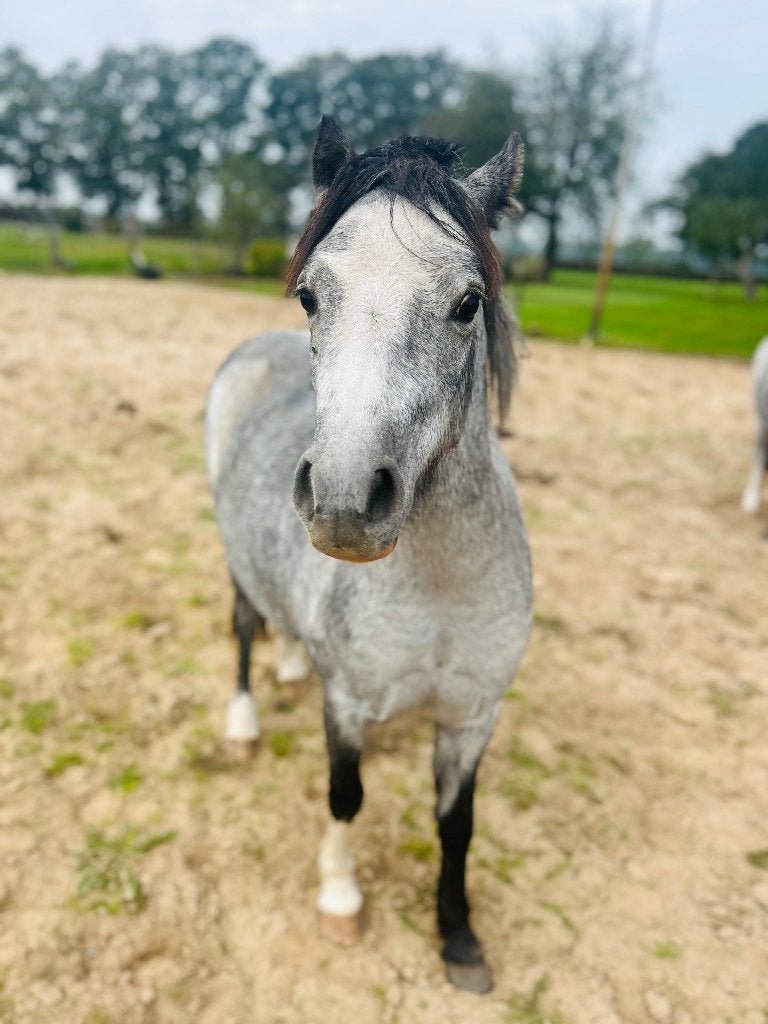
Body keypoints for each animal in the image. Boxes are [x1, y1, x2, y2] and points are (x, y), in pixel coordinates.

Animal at [205, 116, 532, 994]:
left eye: (468, 302)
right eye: (312, 295)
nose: (346, 498)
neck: (440, 588)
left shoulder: (471, 717)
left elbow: (457, 825)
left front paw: (460, 941)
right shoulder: (347, 707)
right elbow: (345, 797)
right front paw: (342, 901)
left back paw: (292, 665)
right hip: (233, 557)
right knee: (243, 625)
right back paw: (245, 721)